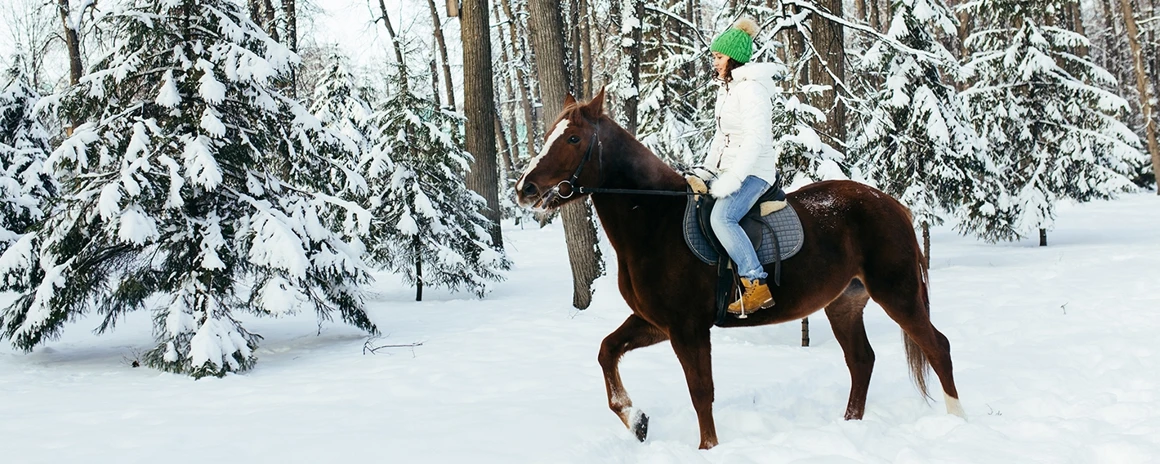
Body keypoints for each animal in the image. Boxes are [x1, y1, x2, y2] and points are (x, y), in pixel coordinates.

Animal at [515, 89, 960, 450]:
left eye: (573, 138)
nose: (525, 189)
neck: (656, 220)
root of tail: (893, 204)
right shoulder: (658, 322)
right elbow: (607, 350)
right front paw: (635, 419)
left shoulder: (687, 328)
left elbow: (701, 391)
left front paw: (708, 448)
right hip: (844, 304)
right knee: (862, 361)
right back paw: (850, 426)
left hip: (897, 293)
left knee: (937, 347)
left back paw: (958, 420)